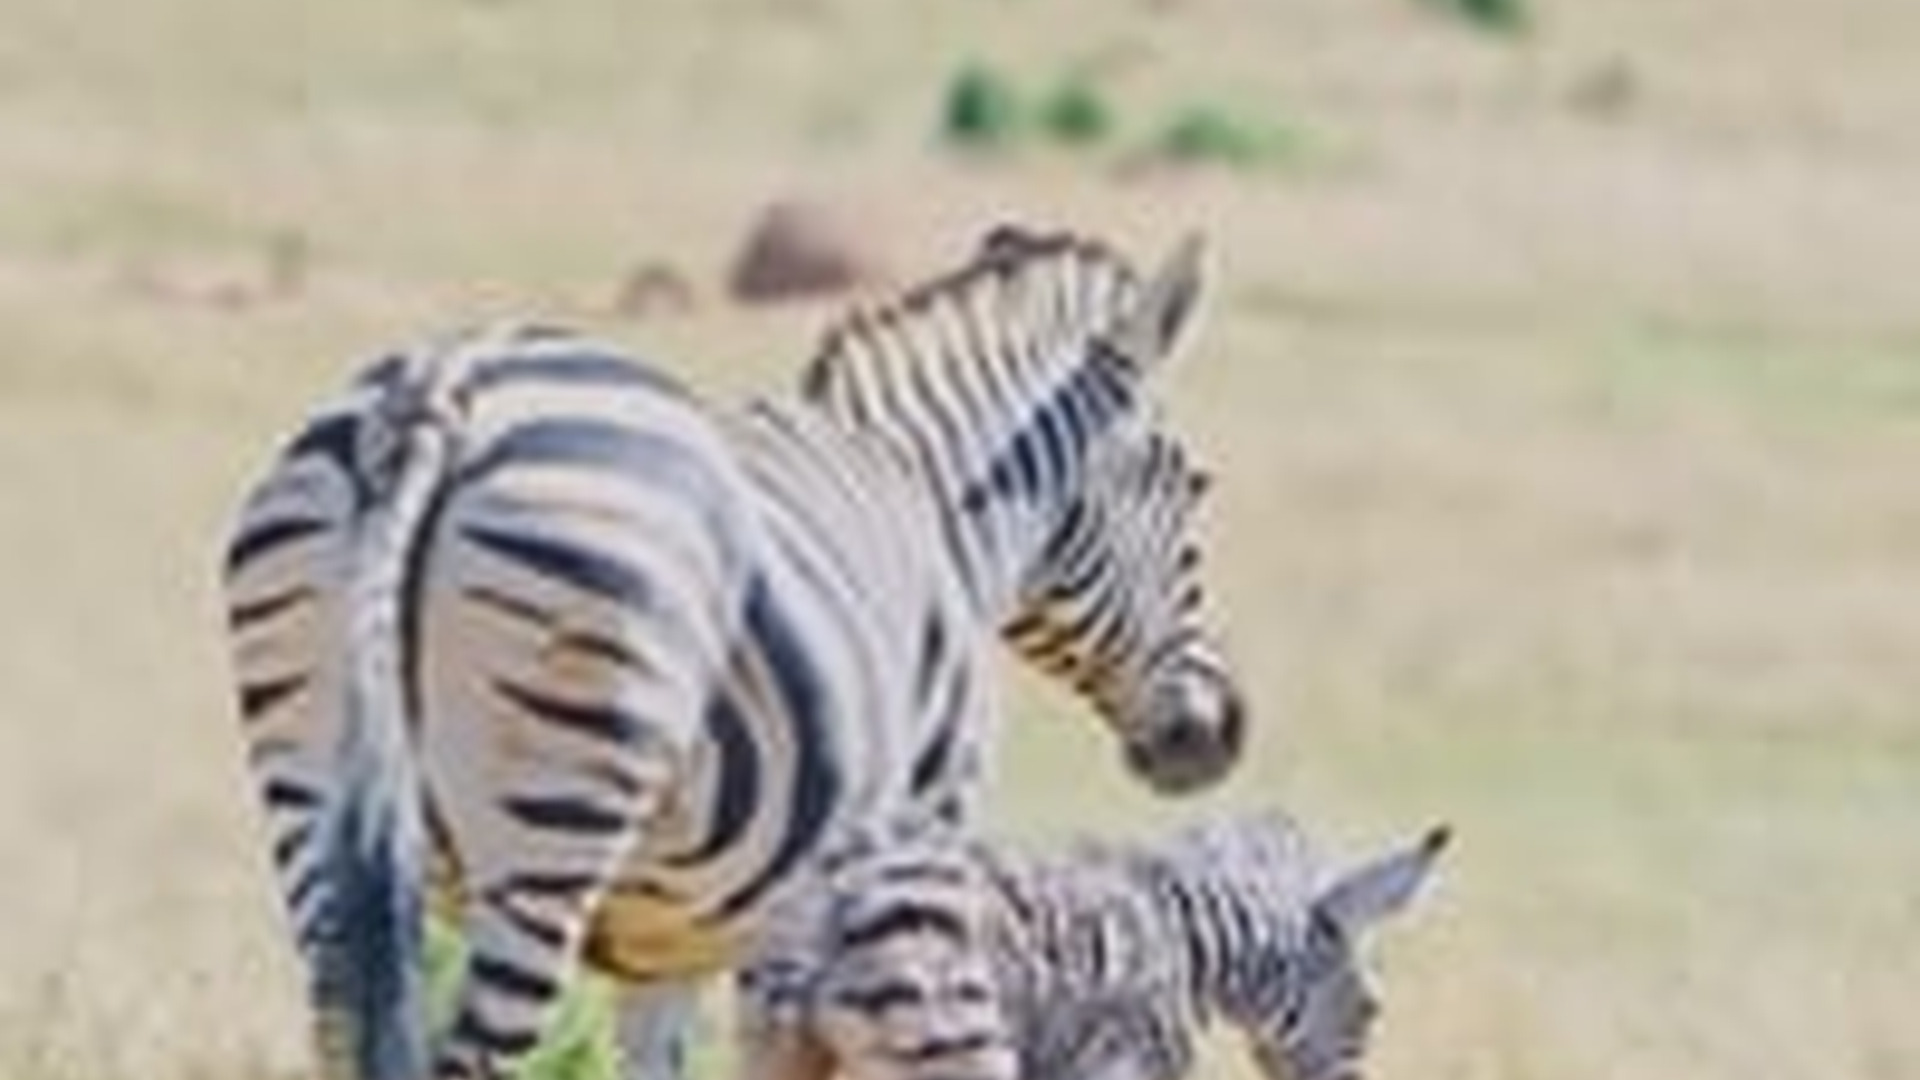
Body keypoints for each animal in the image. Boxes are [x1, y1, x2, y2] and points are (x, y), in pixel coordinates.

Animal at [221, 227, 1246, 1080]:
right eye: (1192, 486)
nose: (1224, 729)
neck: (937, 515)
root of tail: (439, 390)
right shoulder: (892, 870)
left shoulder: (671, 939)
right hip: (558, 812)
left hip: (312, 797)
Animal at [738, 812, 1449, 1080]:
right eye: (1373, 1011)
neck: (1184, 946)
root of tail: (830, 900)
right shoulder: (1121, 1066)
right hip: (960, 1046)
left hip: (780, 1055)